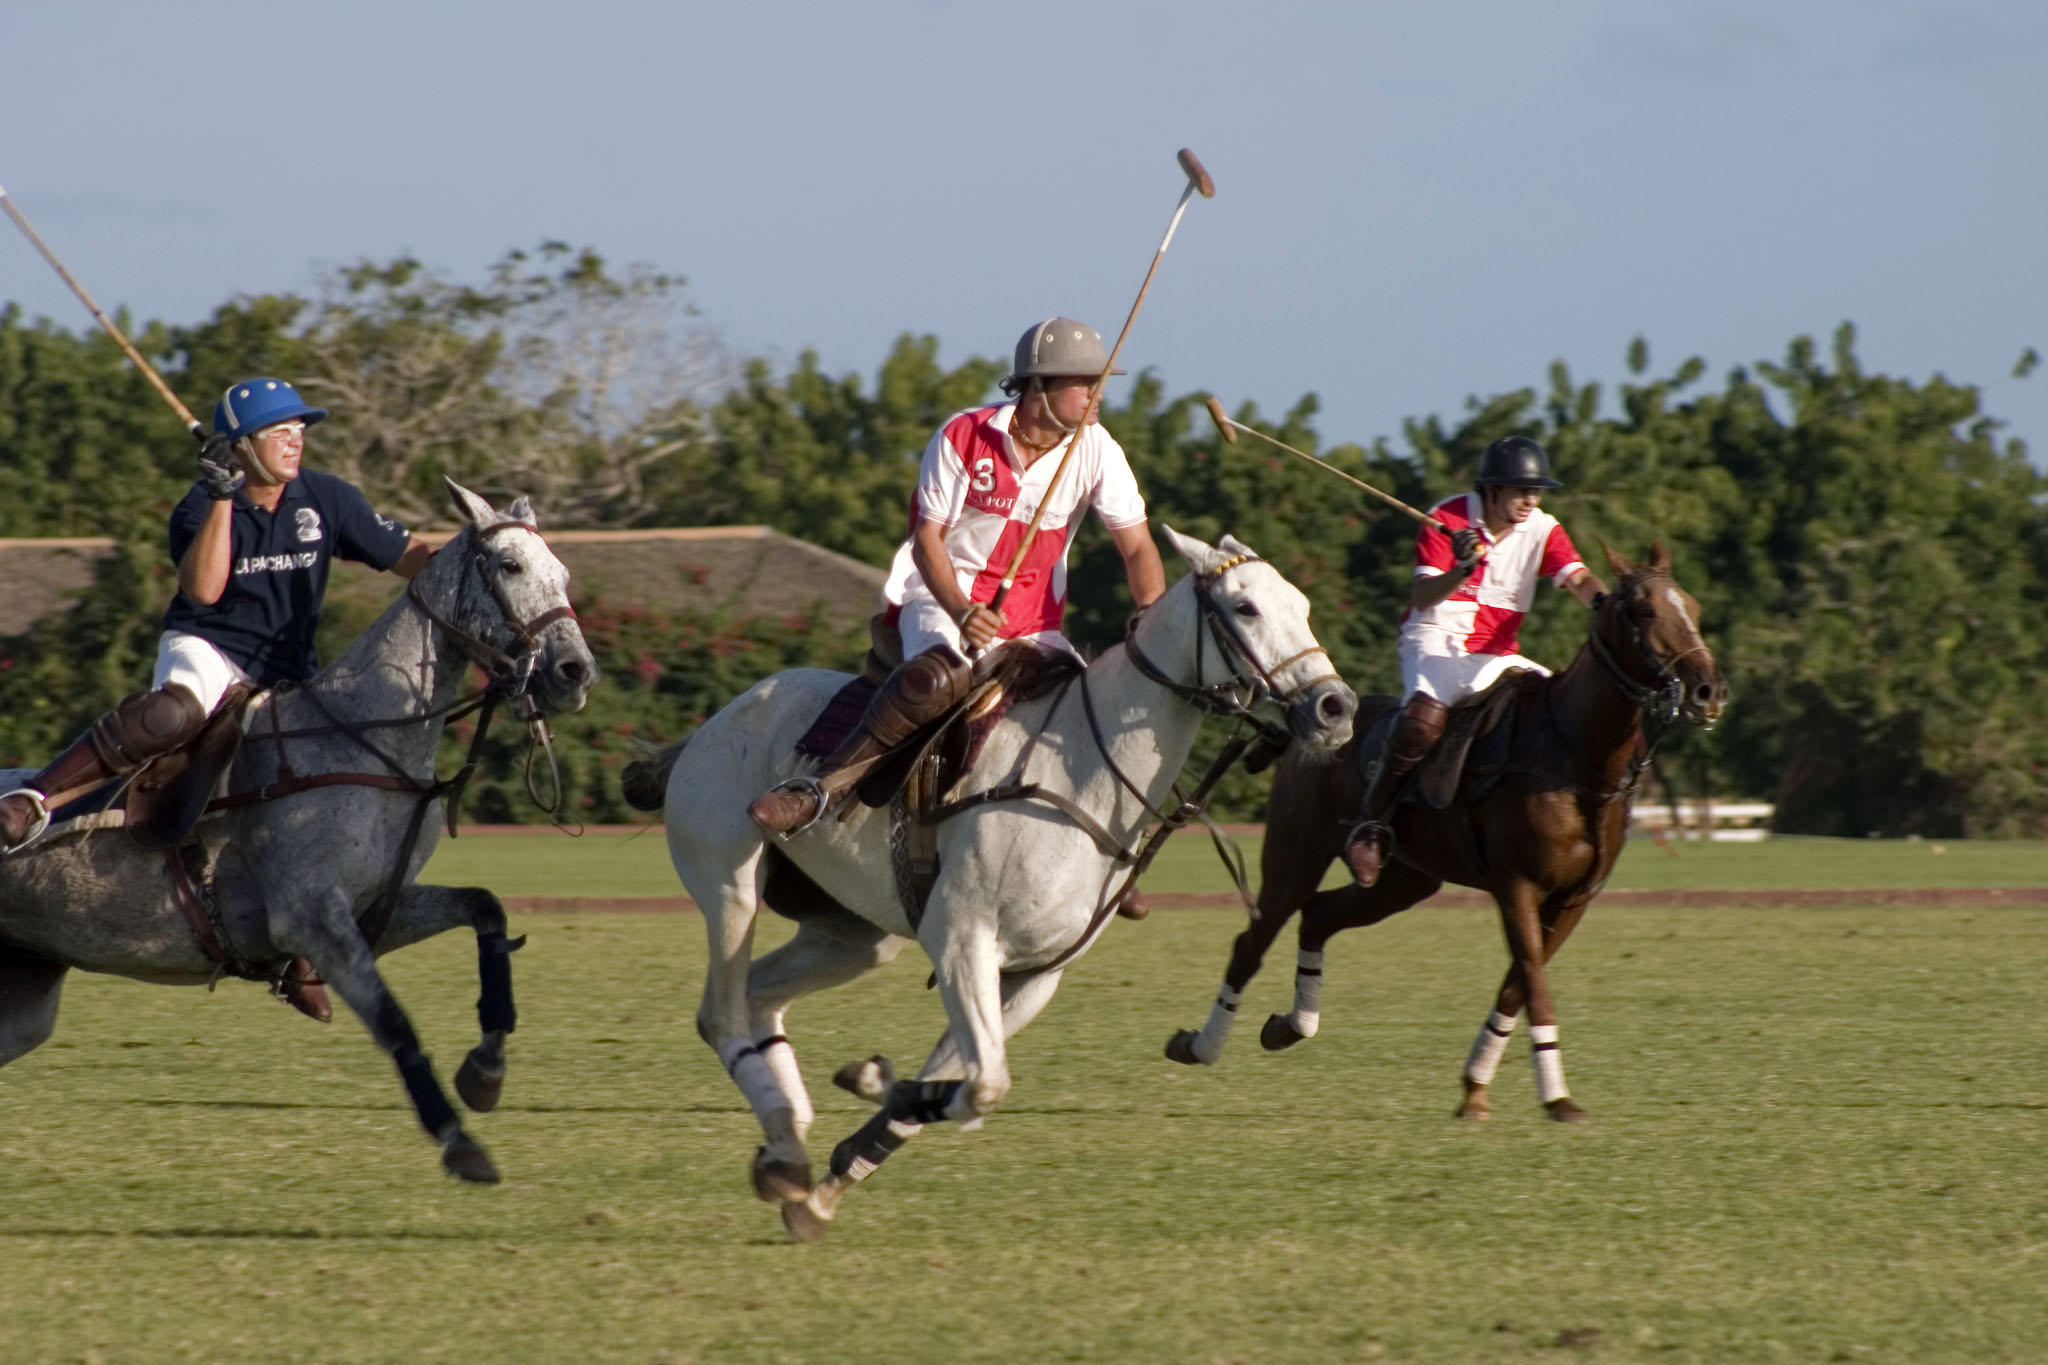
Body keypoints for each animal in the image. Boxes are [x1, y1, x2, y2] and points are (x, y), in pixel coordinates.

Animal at [0, 482, 602, 1186]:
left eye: (563, 574)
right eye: (509, 567)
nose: (575, 672)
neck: (364, 736)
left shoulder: (374, 909)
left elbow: (486, 908)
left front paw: (486, 1072)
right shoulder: (312, 916)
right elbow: (395, 1022)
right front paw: (461, 1143)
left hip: (26, 995)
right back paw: (21, 811)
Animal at [622, 527, 1359, 1244]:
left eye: (1302, 606)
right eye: (1246, 607)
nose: (1336, 707)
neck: (1086, 772)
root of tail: (713, 723)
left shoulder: (1032, 974)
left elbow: (960, 1081)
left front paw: (827, 1189)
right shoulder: (962, 938)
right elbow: (982, 1085)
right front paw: (870, 1080)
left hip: (852, 935)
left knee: (760, 996)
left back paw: (784, 1149)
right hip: (730, 881)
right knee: (721, 1010)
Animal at [1163, 544, 1720, 1121]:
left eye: (1694, 607)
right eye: (1644, 610)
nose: (1708, 691)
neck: (1574, 755)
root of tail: (1305, 729)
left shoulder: (1574, 898)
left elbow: (1518, 984)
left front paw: (1476, 1088)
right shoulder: (1517, 886)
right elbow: (1534, 979)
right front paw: (1557, 1096)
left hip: (1403, 879)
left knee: (1318, 915)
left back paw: (1290, 1026)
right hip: (1296, 856)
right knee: (1255, 937)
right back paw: (1200, 1045)